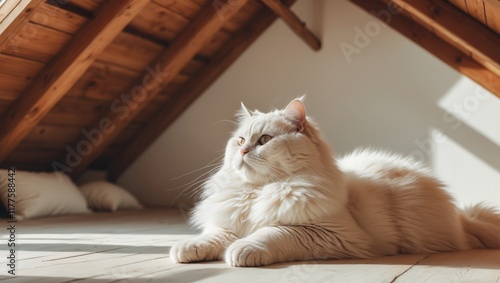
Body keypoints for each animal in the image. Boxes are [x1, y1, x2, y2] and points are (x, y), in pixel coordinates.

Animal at [171, 98, 500, 268]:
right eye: (239, 140)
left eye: (264, 140)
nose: (242, 152)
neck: (259, 191)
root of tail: (460, 218)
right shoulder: (226, 223)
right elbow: (214, 236)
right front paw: (187, 248)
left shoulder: (324, 232)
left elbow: (270, 233)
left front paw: (242, 250)